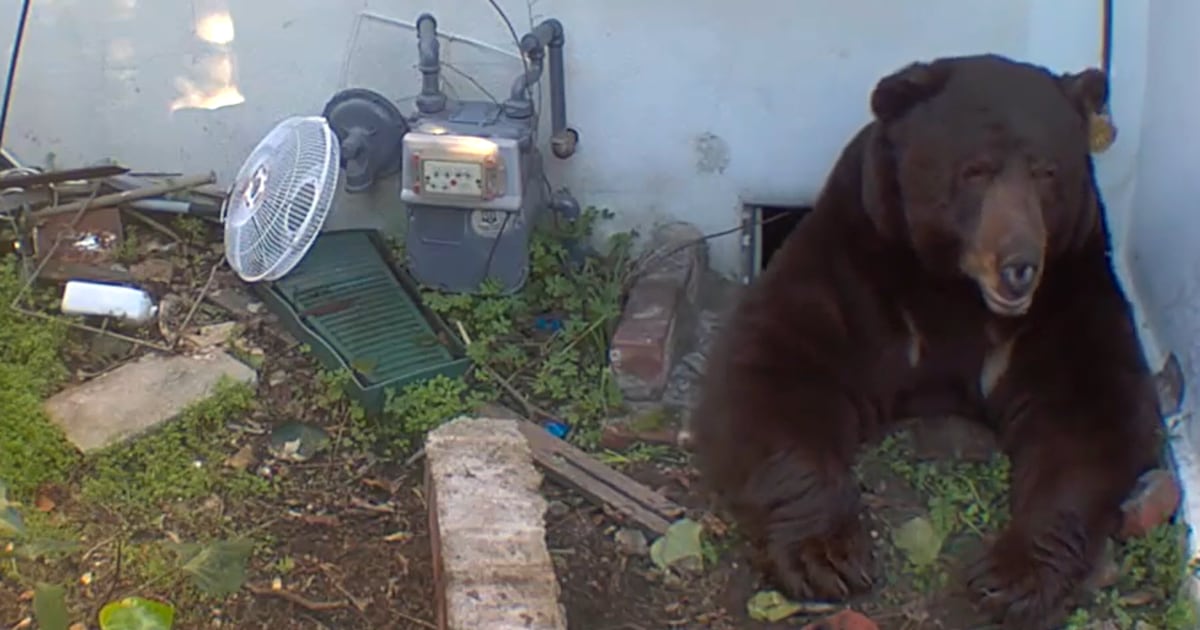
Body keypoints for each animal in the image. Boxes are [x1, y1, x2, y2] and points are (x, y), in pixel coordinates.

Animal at [687, 54, 1163, 629]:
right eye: (975, 170)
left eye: (1048, 172)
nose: (1019, 266)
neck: (953, 289)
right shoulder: (854, 266)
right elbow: (774, 369)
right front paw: (827, 554)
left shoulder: (1067, 294)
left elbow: (1092, 414)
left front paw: (1009, 575)